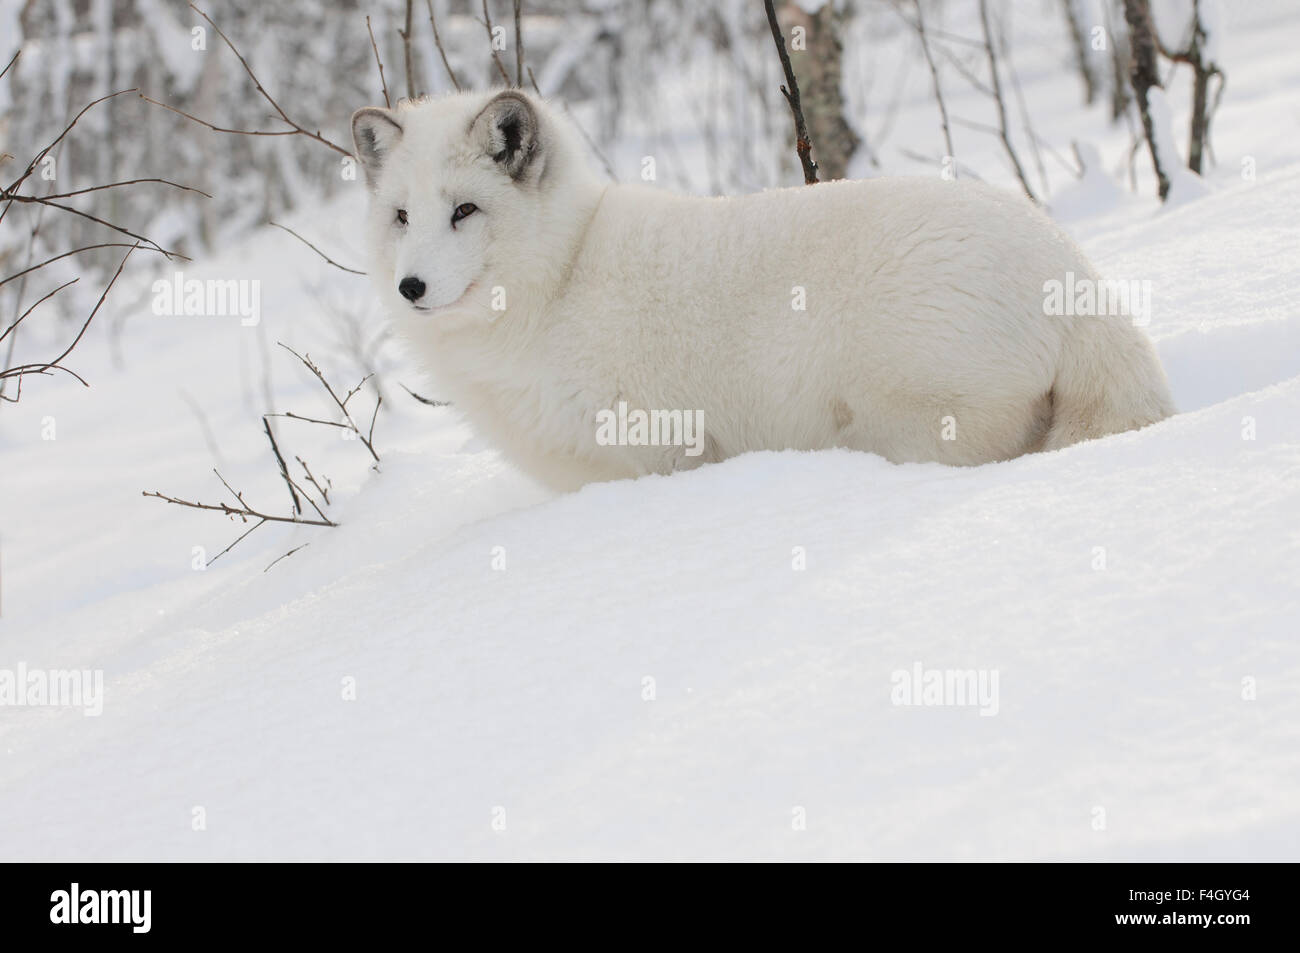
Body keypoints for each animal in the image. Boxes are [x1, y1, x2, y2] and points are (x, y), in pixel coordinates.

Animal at [351, 89, 1176, 493]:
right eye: (401, 217)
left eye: (465, 210)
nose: (411, 285)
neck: (561, 279)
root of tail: (1074, 279)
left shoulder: (668, 450)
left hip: (910, 415)